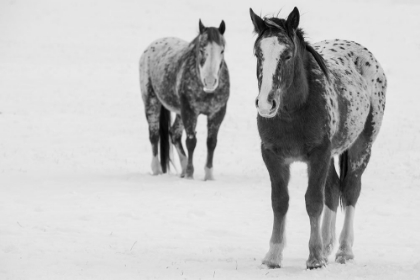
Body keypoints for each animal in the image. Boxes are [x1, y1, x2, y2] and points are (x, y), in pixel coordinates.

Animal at [139, 20, 230, 180]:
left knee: (174, 134)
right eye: (201, 49)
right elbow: (191, 141)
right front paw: (189, 174)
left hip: (179, 112)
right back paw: (157, 170)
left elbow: (211, 142)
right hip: (152, 102)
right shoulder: (190, 112)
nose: (210, 82)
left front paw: (208, 176)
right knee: (154, 135)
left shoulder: (217, 113)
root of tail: (151, 47)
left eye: (222, 51)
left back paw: (182, 168)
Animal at [249, 6, 388, 270]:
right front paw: (273, 256)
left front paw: (314, 258)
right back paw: (327, 245)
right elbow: (280, 201)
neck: (295, 111)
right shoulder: (272, 155)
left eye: (287, 55)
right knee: (332, 190)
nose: (265, 104)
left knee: (351, 189)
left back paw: (344, 251)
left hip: (361, 147)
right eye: (258, 53)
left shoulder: (318, 155)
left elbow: (313, 201)